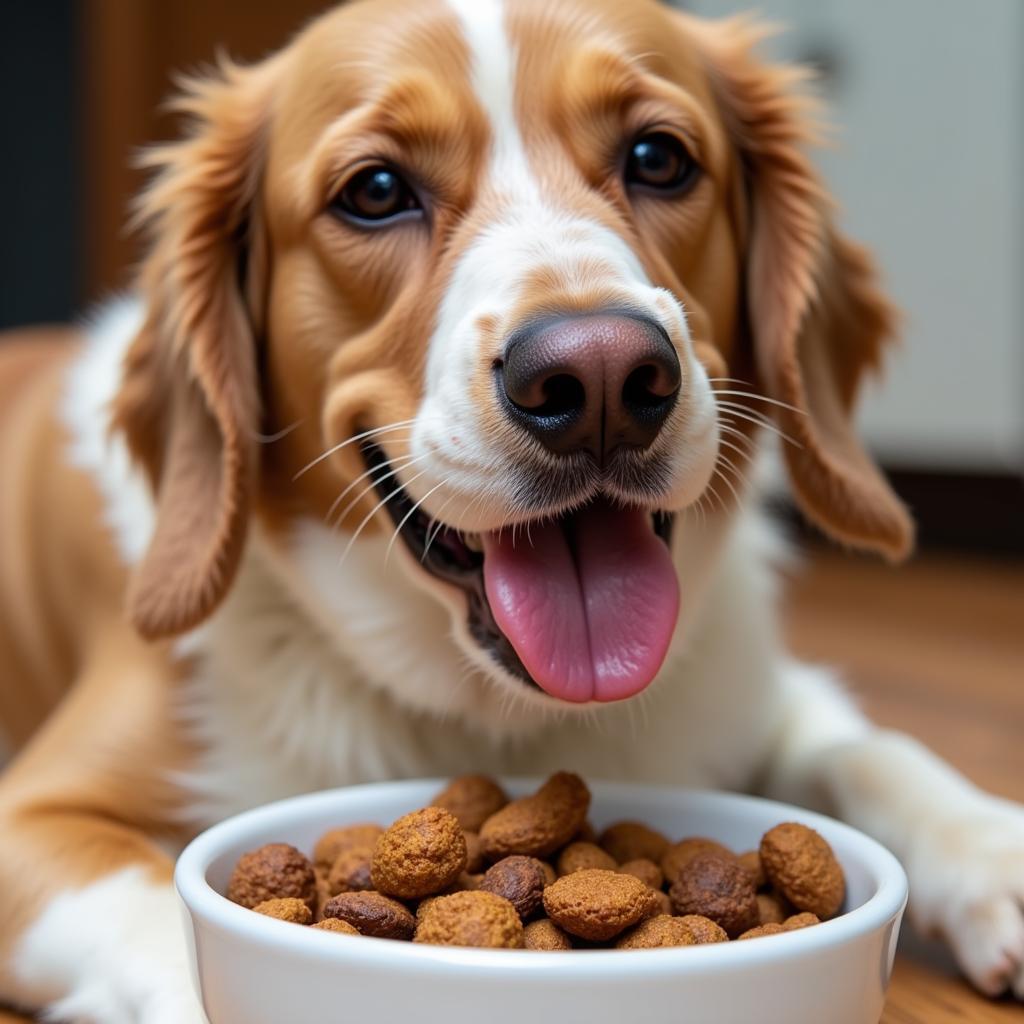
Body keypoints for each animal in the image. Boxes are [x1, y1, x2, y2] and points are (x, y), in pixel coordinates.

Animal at [2, 2, 1024, 1015]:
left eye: (659, 158)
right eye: (375, 190)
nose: (603, 379)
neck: (495, 712)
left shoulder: (758, 700)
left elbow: (875, 750)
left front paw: (994, 852)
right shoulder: (34, 816)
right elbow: (157, 923)